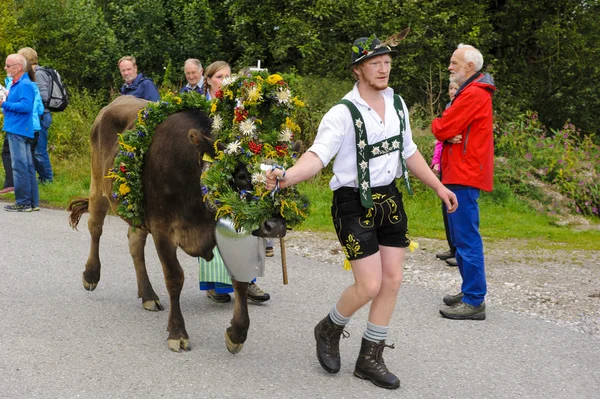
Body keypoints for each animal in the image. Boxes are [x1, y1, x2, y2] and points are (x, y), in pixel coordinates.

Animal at [67, 96, 288, 354]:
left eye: (281, 175)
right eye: (241, 175)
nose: (275, 225)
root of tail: (117, 100)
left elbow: (239, 280)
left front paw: (237, 334)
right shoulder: (162, 229)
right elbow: (174, 278)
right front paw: (177, 332)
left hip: (136, 208)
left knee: (135, 244)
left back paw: (148, 295)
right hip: (98, 185)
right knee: (95, 227)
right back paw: (91, 275)